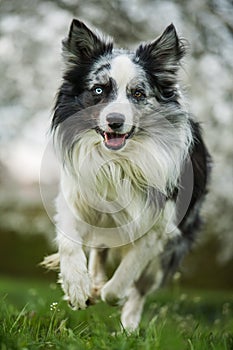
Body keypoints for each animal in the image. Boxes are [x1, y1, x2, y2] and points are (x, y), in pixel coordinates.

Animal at [41, 19, 211, 330]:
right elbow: (70, 242)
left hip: (167, 253)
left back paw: (128, 327)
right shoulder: (78, 198)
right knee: (97, 250)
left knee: (139, 290)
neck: (118, 161)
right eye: (98, 90)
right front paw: (78, 286)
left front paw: (103, 292)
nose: (115, 121)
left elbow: (123, 279)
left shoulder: (159, 227)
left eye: (138, 94)